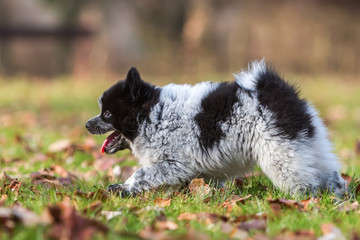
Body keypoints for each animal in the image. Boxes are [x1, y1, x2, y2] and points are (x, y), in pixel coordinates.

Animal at [86, 60, 348, 197]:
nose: (87, 124)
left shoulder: (173, 162)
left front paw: (123, 188)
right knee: (331, 176)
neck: (151, 113)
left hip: (280, 155)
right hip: (306, 145)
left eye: (107, 114)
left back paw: (303, 205)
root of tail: (278, 93)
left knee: (303, 184)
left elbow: (141, 174)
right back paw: (339, 199)